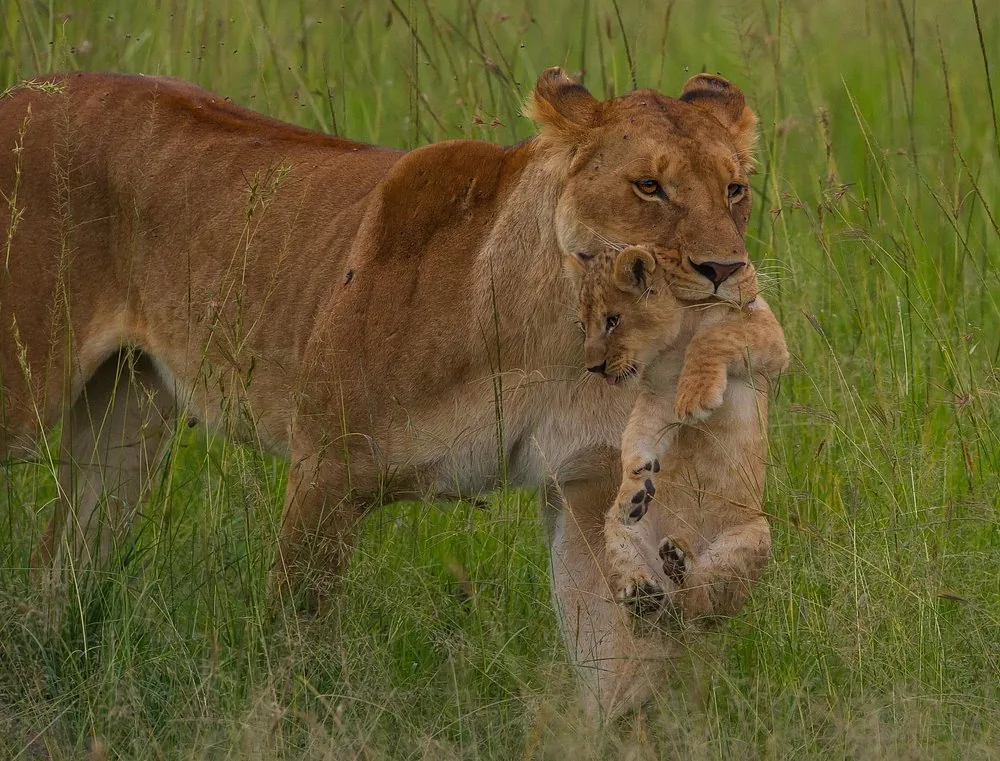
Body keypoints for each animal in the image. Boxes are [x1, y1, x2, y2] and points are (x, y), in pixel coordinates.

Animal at [0, 67, 763, 716]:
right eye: (649, 186)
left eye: (735, 189)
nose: (726, 269)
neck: (551, 338)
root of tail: (25, 91)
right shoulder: (327, 467)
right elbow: (295, 634)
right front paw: (290, 721)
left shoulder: (587, 484)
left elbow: (610, 652)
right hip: (25, 396)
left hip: (125, 420)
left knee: (60, 563)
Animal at [567, 244, 788, 627]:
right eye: (583, 326)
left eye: (613, 320)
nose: (593, 368)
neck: (676, 337)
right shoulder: (658, 395)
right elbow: (635, 435)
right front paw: (635, 485)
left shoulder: (767, 332)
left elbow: (716, 335)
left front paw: (696, 397)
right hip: (619, 532)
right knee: (659, 590)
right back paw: (644, 592)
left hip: (753, 535)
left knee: (700, 601)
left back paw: (680, 563)